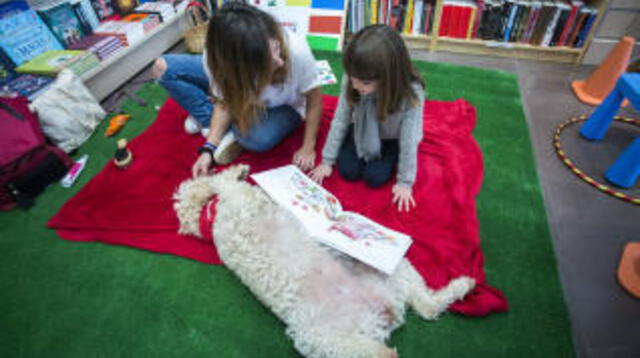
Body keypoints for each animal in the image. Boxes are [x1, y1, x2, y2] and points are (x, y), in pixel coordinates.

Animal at [175, 165, 476, 358]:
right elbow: (216, 181)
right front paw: (235, 170)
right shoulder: (230, 196)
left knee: (428, 307)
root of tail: (383, 311)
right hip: (326, 341)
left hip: (396, 271)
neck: (212, 215)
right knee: (389, 348)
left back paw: (464, 284)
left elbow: (215, 182)